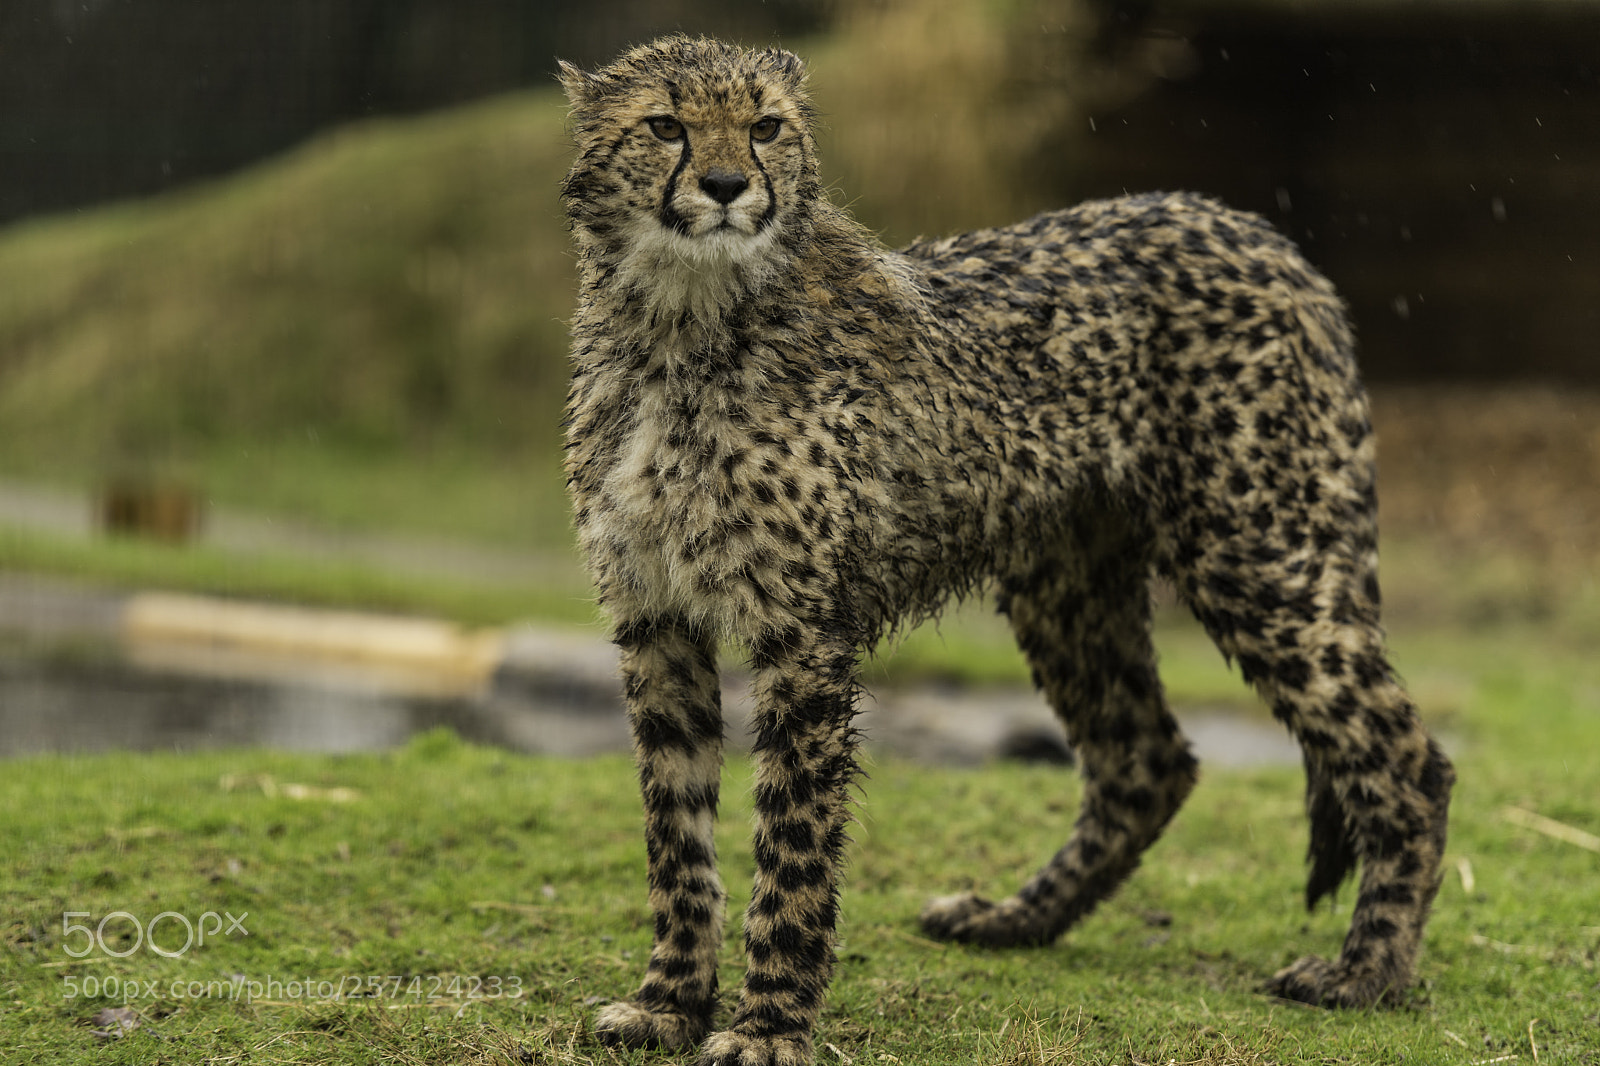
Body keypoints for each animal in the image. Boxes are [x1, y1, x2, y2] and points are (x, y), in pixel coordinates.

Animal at [558, 34, 1454, 1066]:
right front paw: (668, 1003)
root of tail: (1252, 229)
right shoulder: (656, 620)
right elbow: (677, 831)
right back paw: (1017, 920)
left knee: (1406, 756)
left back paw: (1367, 972)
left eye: (766, 126)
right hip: (1067, 581)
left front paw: (768, 1026)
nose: (726, 184)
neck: (680, 321)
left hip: (1259, 554)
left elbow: (791, 845)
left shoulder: (802, 634)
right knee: (1145, 759)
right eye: (666, 125)